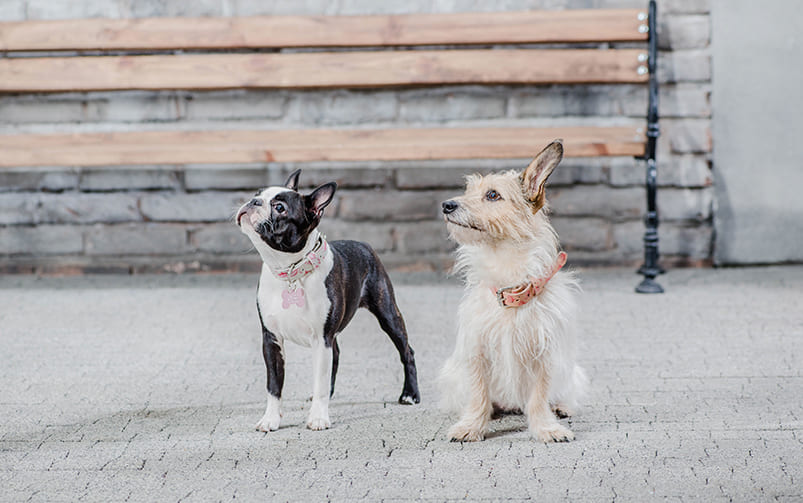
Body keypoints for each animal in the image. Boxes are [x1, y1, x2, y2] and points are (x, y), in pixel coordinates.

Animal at [236, 171, 420, 432]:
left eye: (280, 208)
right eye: (257, 194)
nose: (253, 202)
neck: (290, 271)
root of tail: (364, 244)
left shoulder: (321, 338)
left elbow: (320, 380)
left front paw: (318, 417)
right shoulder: (271, 338)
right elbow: (274, 384)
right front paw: (271, 419)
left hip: (387, 313)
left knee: (407, 351)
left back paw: (410, 395)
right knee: (337, 355)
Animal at [436, 140, 588, 442]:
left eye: (492, 195)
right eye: (468, 191)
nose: (447, 205)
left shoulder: (545, 353)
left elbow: (540, 396)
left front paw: (546, 427)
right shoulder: (477, 350)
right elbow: (478, 393)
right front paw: (472, 425)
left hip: (570, 370)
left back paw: (562, 407)